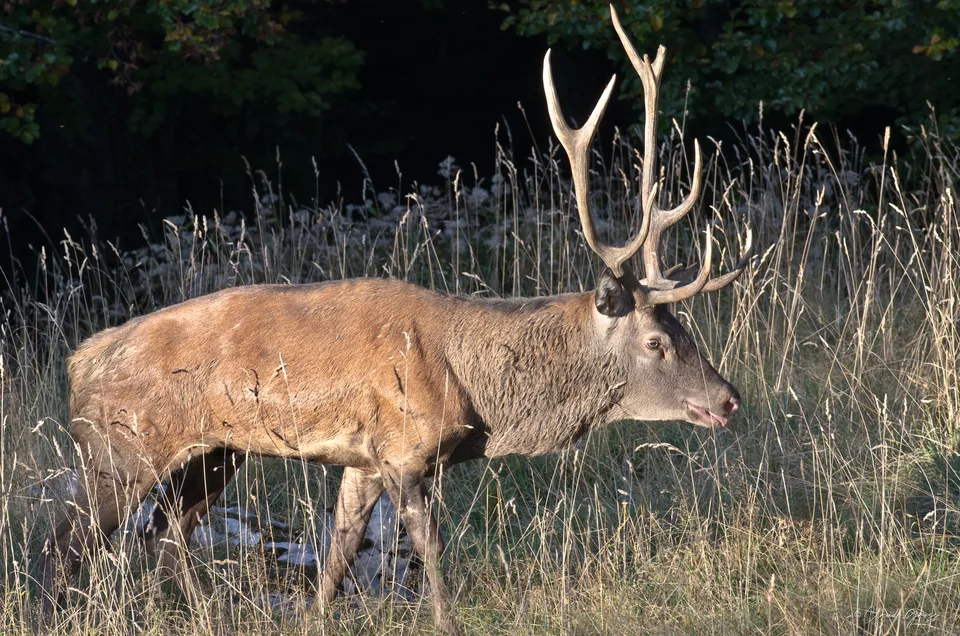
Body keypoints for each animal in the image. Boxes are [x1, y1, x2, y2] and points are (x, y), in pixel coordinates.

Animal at [39, 5, 753, 635]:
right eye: (657, 341)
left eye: (687, 331)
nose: (728, 399)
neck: (478, 394)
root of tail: (79, 361)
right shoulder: (406, 448)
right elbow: (428, 549)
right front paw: (448, 623)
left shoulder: (364, 458)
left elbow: (338, 553)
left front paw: (316, 620)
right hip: (117, 447)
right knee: (66, 541)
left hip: (215, 452)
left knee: (165, 535)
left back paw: (205, 615)